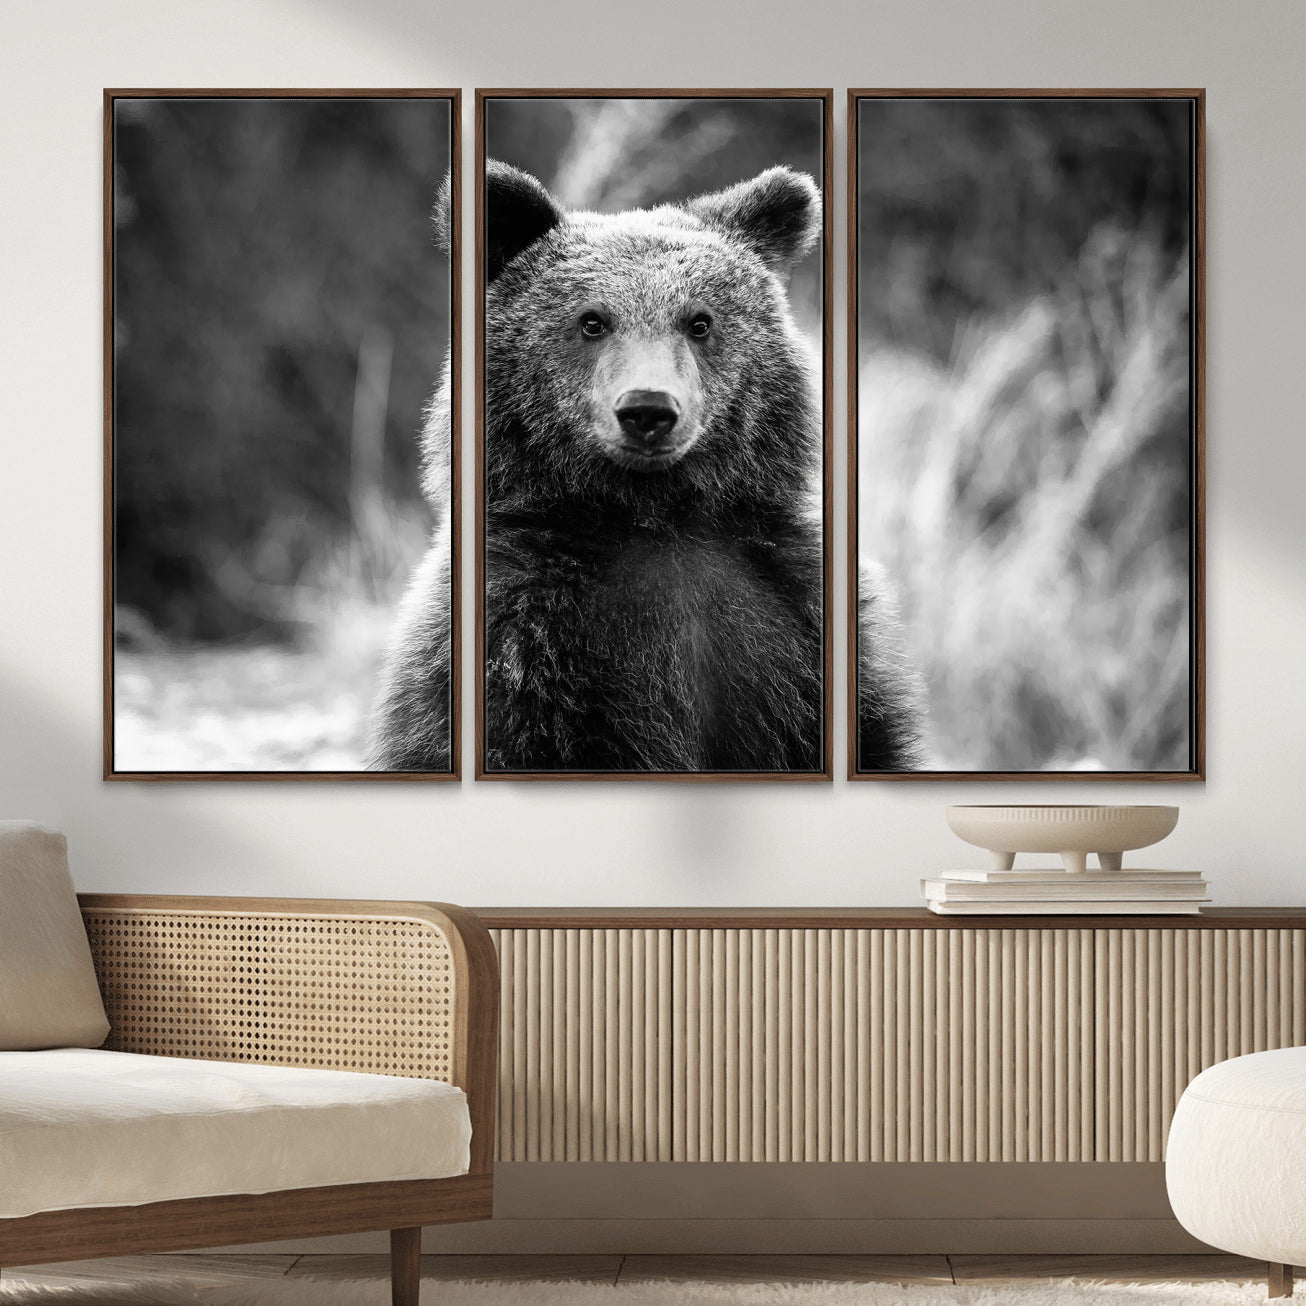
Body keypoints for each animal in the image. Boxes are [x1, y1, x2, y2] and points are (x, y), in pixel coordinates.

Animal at [369, 161, 924, 773]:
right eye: (592, 321)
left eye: (699, 322)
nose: (648, 409)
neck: (655, 516)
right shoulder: (523, 639)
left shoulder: (792, 620)